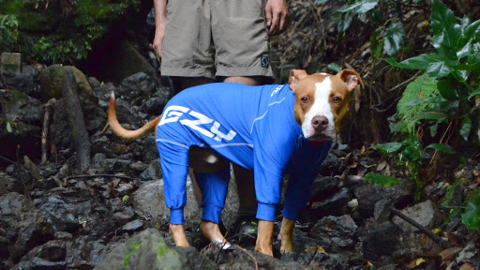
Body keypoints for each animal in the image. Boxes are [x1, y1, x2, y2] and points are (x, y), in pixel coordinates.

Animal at [108, 69, 364, 255]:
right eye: (304, 99)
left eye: (336, 99)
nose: (319, 122)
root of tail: (165, 108)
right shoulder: (269, 170)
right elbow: (266, 217)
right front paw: (265, 254)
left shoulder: (304, 176)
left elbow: (290, 215)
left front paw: (288, 250)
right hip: (175, 162)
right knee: (176, 211)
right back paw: (184, 249)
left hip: (213, 169)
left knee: (209, 217)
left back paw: (224, 244)